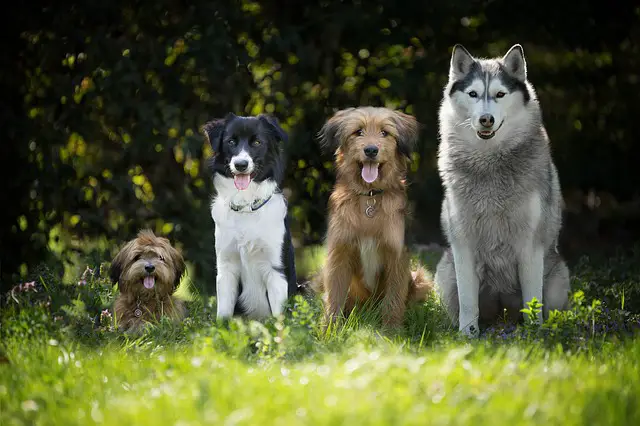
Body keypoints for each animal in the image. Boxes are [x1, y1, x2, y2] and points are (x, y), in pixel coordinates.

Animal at [314, 107, 432, 330]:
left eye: (385, 133)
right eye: (358, 132)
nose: (370, 150)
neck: (369, 197)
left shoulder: (397, 255)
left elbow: (393, 299)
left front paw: (391, 331)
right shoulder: (339, 253)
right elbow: (334, 298)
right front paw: (329, 330)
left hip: (420, 278)